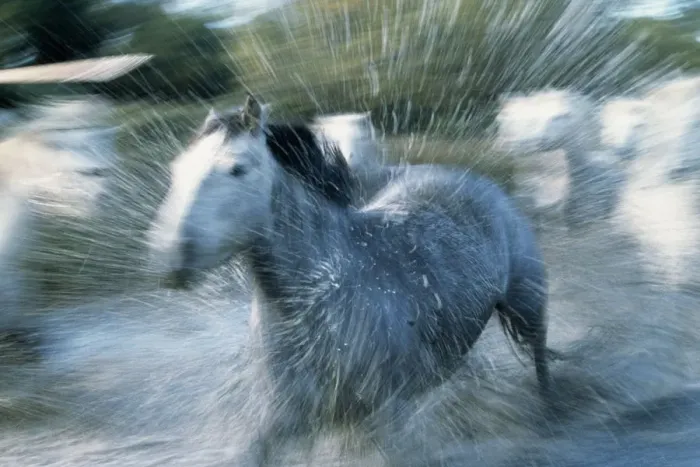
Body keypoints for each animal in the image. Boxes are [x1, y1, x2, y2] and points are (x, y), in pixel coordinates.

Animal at [148, 95, 553, 466]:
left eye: (237, 169)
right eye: (177, 168)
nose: (169, 256)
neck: (322, 296)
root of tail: (469, 179)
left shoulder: (388, 414)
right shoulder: (286, 417)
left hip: (527, 307)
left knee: (540, 362)